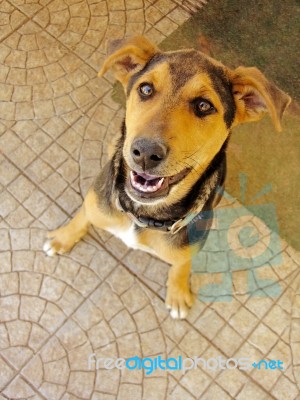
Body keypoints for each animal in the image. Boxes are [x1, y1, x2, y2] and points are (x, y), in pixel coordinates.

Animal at [44, 36, 290, 320]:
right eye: (146, 89)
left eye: (204, 106)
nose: (145, 152)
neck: (141, 215)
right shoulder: (96, 202)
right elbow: (83, 215)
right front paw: (63, 237)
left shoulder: (188, 248)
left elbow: (182, 264)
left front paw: (178, 292)